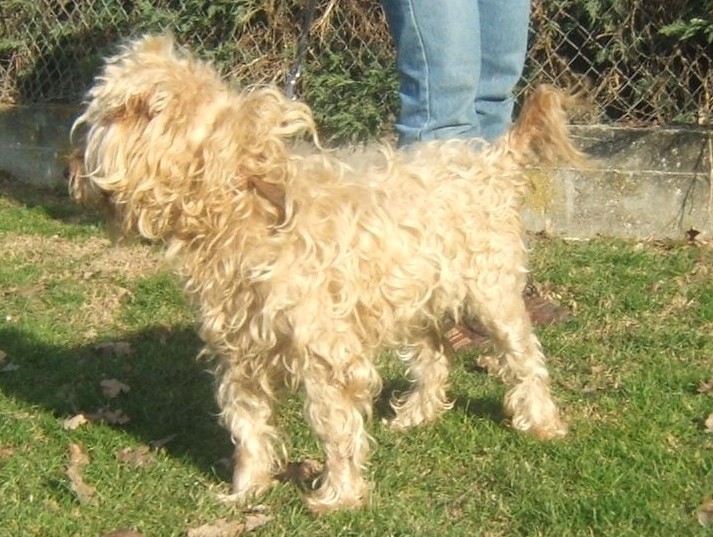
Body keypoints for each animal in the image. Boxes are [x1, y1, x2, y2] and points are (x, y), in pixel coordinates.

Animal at [69, 34, 582, 513]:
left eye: (121, 114)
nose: (72, 165)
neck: (248, 211)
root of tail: (494, 159)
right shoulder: (239, 351)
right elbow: (247, 423)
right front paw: (246, 490)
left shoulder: (326, 353)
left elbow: (334, 424)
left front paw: (338, 494)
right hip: (414, 296)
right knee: (434, 354)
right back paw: (416, 414)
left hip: (492, 292)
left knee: (525, 356)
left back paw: (542, 422)